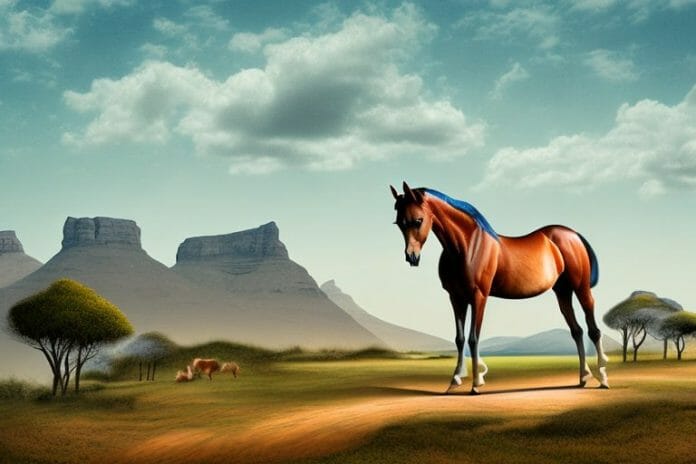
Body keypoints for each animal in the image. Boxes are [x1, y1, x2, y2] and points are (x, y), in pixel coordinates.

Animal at [391, 182, 609, 394]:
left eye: (418, 220)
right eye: (399, 223)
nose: (412, 257)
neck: (468, 246)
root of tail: (573, 235)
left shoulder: (478, 296)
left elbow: (473, 338)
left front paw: (476, 383)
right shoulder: (456, 297)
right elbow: (460, 338)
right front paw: (455, 380)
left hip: (581, 288)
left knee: (593, 330)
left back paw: (603, 378)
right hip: (562, 291)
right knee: (577, 331)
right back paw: (583, 377)